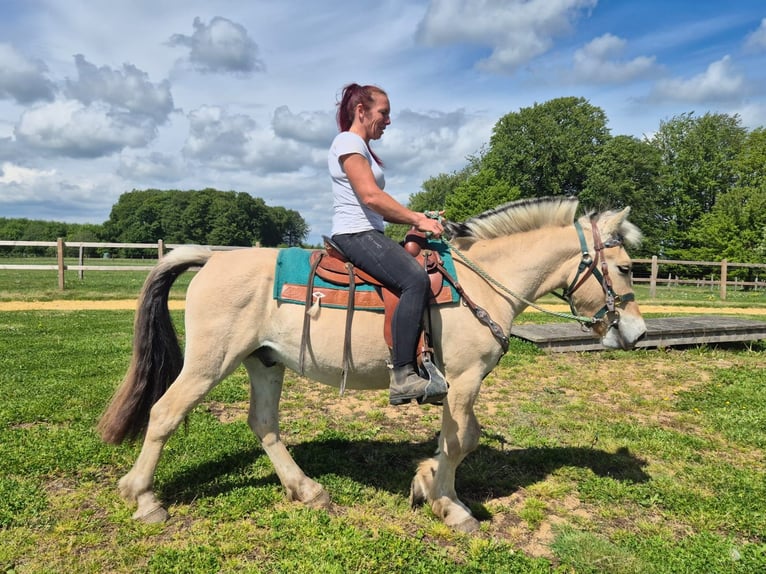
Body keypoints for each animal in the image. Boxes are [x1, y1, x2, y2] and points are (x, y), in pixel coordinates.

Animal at [98, 196, 646, 533]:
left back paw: (307, 490)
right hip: (210, 364)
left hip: (264, 362)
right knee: (165, 414)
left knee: (264, 424)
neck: (482, 282)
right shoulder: (464, 379)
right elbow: (462, 441)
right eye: (623, 268)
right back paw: (143, 499)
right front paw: (450, 505)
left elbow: (456, 439)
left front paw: (428, 485)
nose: (638, 332)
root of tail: (212, 258)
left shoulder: (458, 386)